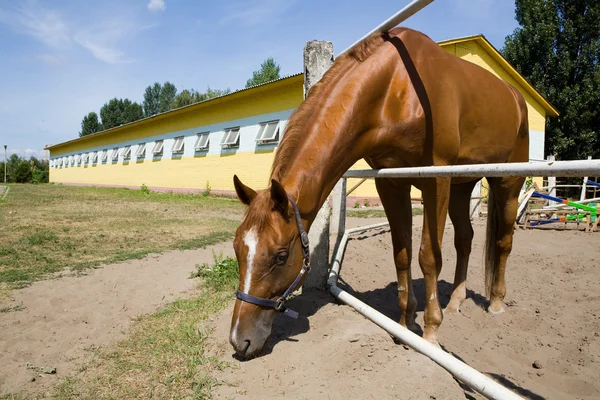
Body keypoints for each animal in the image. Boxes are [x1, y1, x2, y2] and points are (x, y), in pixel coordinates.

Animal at [227, 28, 528, 360]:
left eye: (280, 256)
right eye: (237, 248)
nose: (240, 340)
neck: (395, 88)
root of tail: (516, 98)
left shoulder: (436, 179)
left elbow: (429, 256)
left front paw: (431, 331)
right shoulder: (391, 182)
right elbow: (402, 253)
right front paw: (404, 325)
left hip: (506, 182)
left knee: (503, 241)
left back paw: (496, 302)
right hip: (461, 188)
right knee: (465, 239)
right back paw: (456, 300)